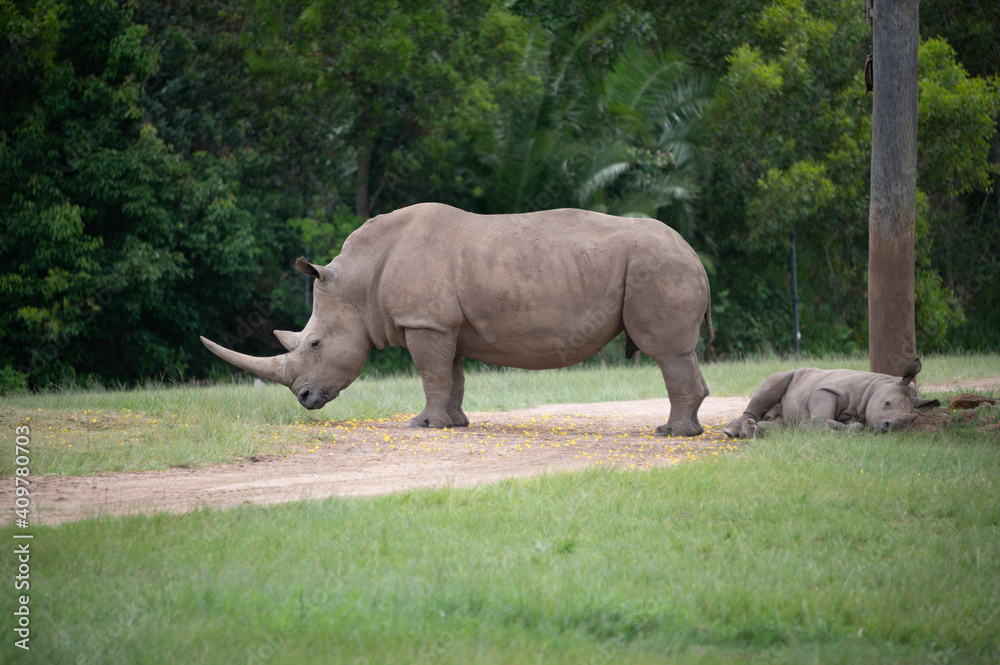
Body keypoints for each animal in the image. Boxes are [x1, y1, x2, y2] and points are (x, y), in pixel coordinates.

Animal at [201, 202, 713, 436]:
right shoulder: (445, 325)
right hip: (665, 264)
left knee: (666, 352)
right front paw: (454, 424)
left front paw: (421, 425)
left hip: (658, 267)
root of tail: (694, 253)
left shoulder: (425, 322)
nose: (305, 399)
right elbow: (452, 376)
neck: (360, 282)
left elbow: (431, 373)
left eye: (314, 344)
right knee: (679, 353)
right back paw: (685, 430)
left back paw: (671, 435)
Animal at [723, 358, 940, 438]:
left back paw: (754, 429)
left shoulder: (859, 414)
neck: (877, 385)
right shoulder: (827, 390)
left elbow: (858, 426)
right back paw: (733, 431)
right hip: (793, 374)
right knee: (774, 382)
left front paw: (835, 427)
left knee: (782, 422)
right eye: (886, 403)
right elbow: (819, 417)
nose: (889, 427)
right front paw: (821, 427)